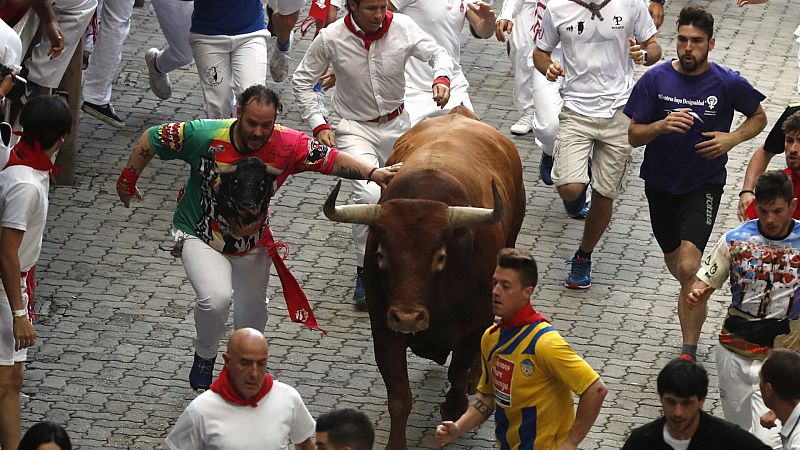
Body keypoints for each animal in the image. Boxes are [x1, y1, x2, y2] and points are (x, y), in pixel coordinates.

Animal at [324, 107, 524, 448]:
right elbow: (399, 395)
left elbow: (458, 378)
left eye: (440, 256)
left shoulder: (475, 324)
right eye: (381, 255)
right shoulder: (384, 327)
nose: (408, 317)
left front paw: (454, 409)